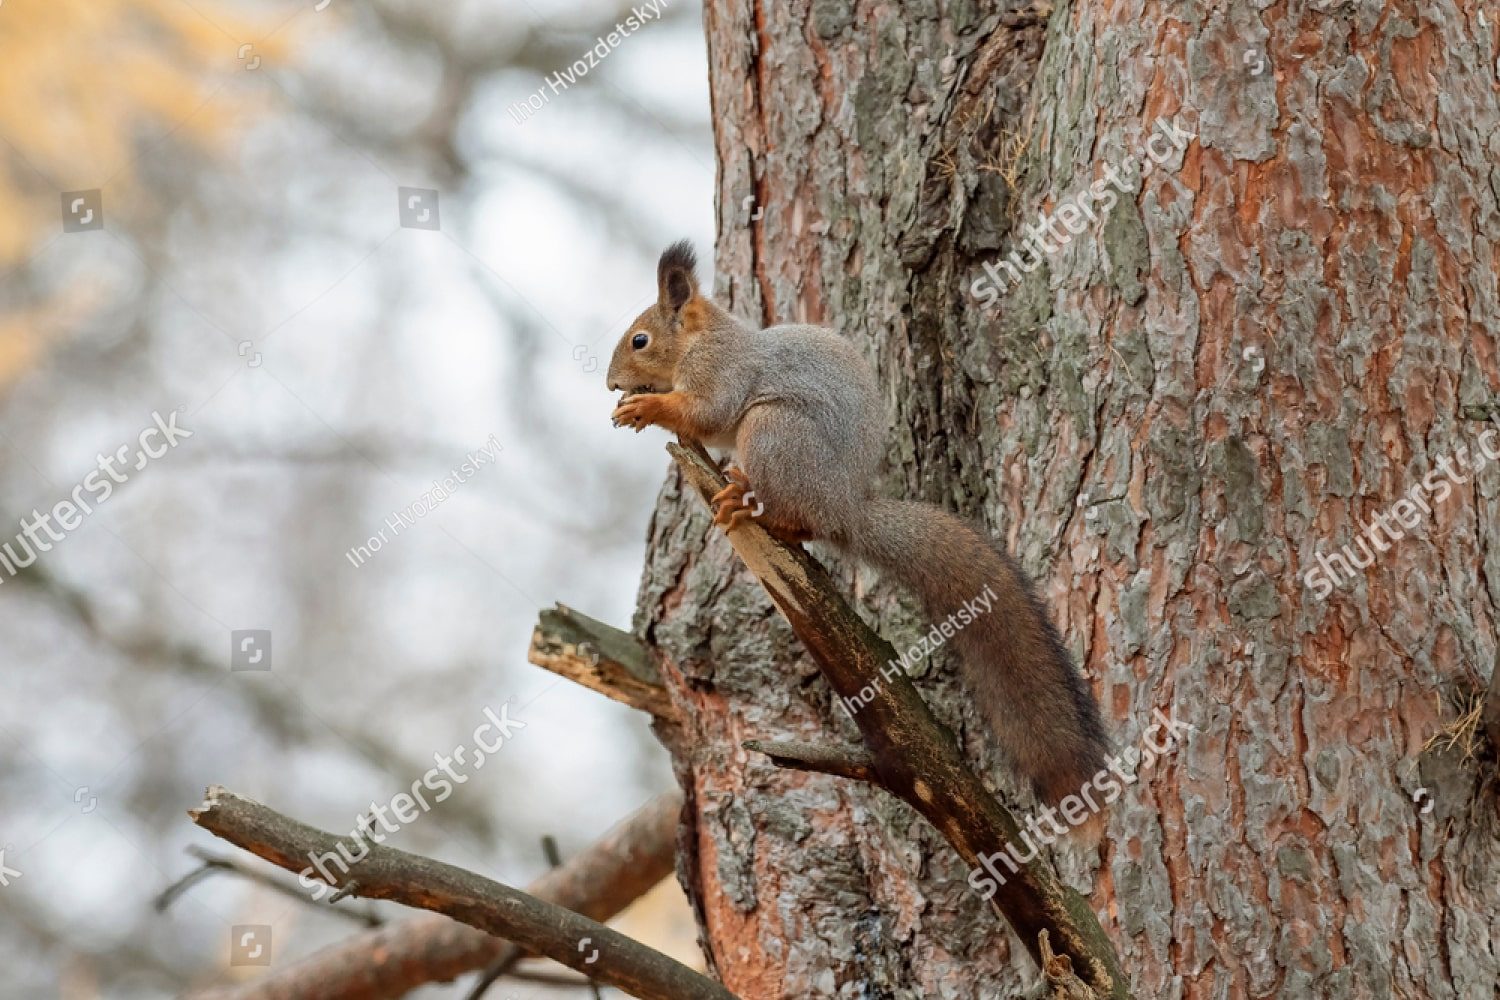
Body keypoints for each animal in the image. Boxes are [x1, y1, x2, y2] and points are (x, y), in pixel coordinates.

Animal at [606, 241, 1110, 815]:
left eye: (640, 340)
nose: (611, 383)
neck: (703, 338)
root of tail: (844, 509)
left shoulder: (720, 372)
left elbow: (708, 415)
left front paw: (647, 407)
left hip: (774, 431)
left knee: (795, 514)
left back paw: (752, 506)